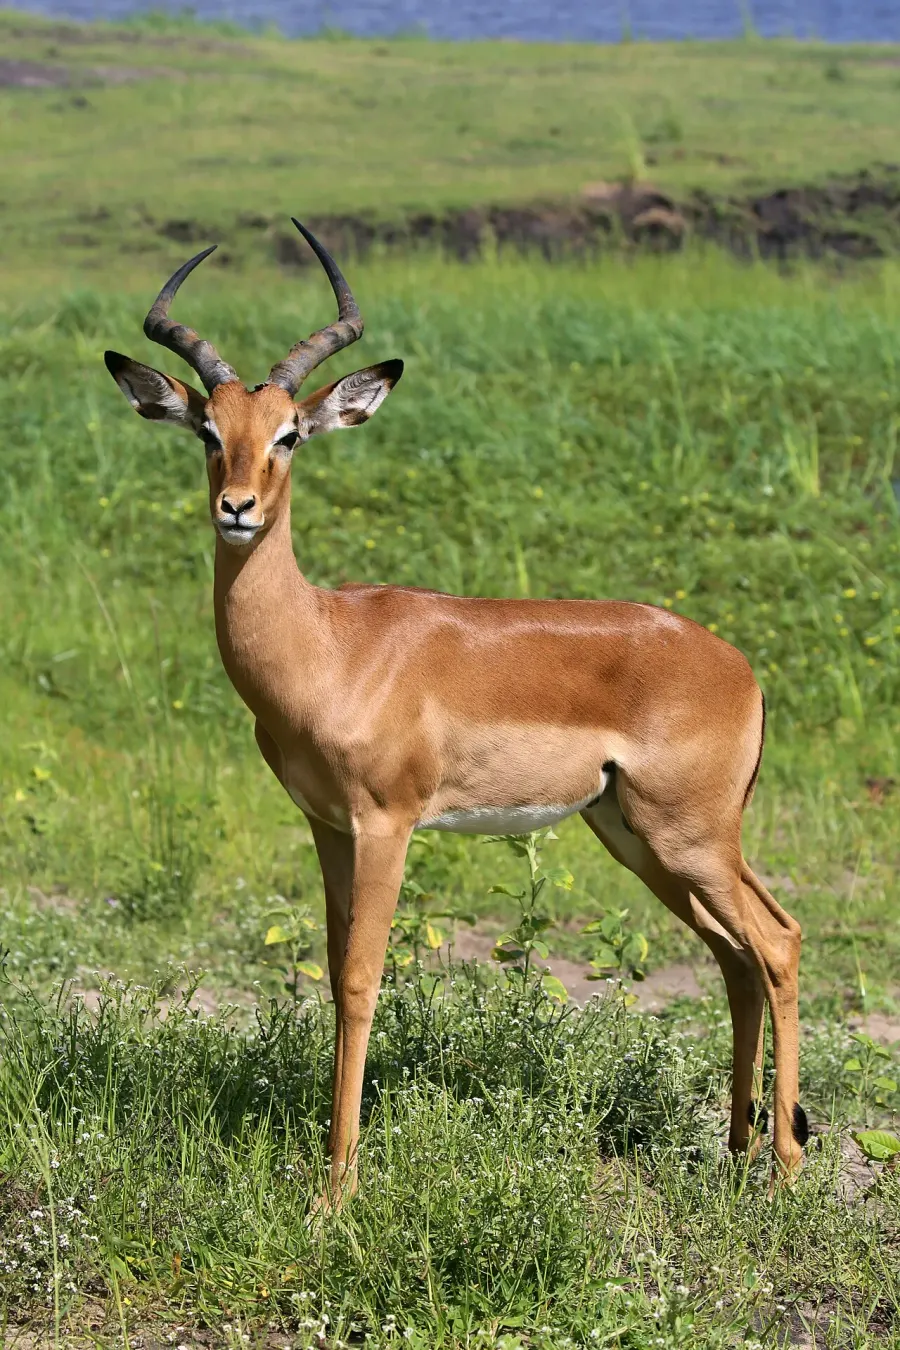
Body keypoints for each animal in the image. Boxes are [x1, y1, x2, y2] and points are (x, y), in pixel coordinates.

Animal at [104, 219, 806, 1206]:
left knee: (776, 943)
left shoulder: (388, 822)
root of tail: (741, 669)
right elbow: (332, 970)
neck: (330, 647)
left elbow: (362, 979)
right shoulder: (328, 826)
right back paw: (737, 1152)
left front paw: (337, 1188)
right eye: (209, 429)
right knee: (736, 957)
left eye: (290, 435)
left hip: (690, 835)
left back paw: (784, 1167)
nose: (236, 508)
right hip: (638, 836)